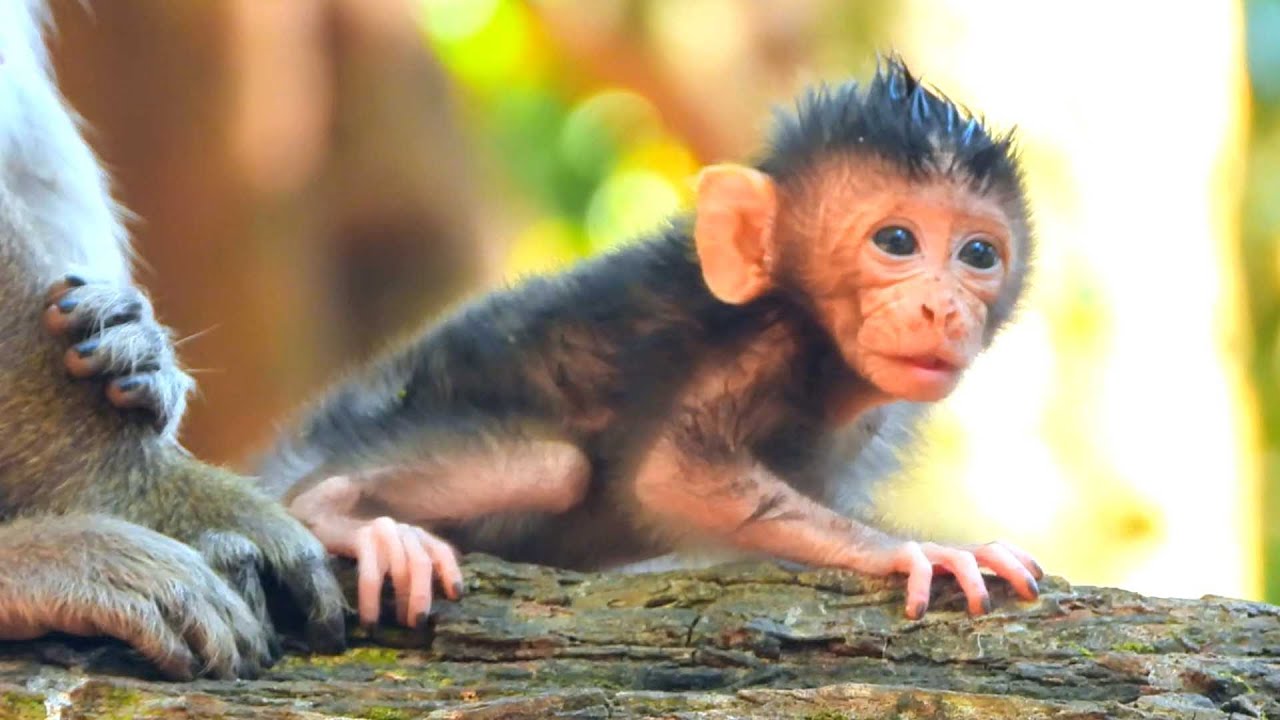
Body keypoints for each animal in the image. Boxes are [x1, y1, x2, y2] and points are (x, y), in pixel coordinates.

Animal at [258, 56, 1045, 630]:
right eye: (896, 241)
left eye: (979, 254)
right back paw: (343, 516)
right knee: (554, 466)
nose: (942, 307)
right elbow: (671, 475)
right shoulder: (758, 348)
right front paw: (919, 550)